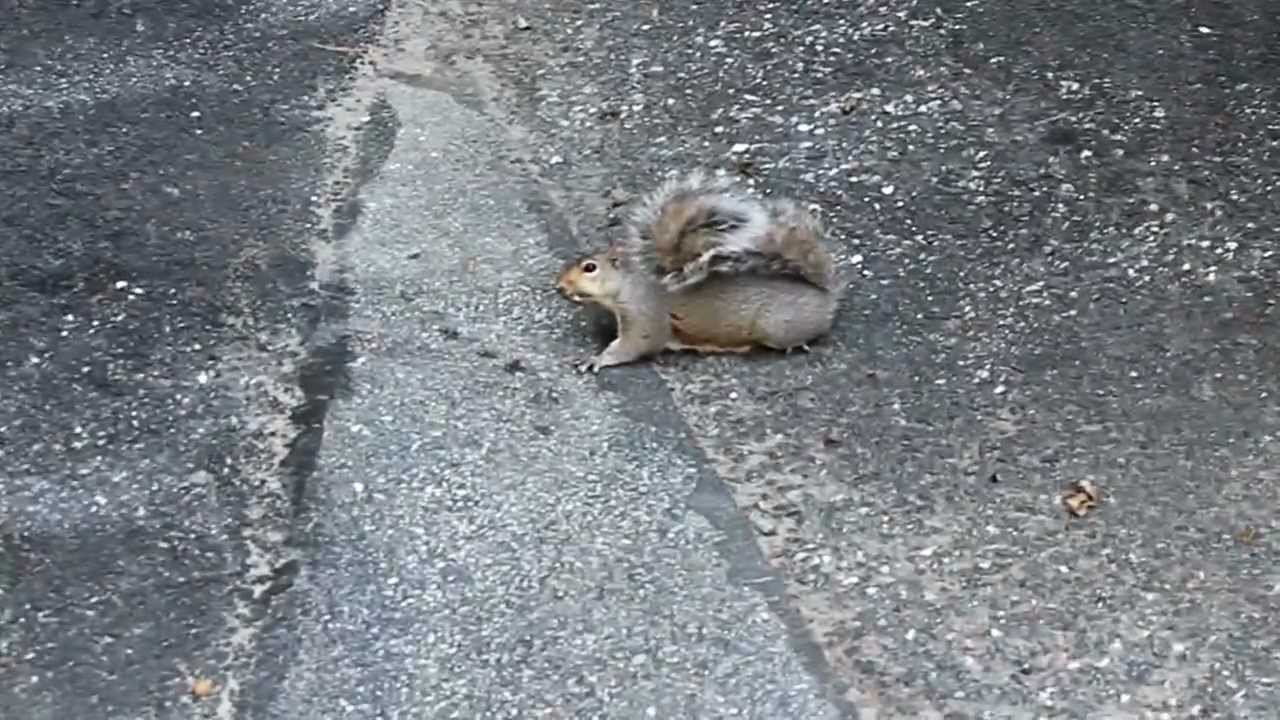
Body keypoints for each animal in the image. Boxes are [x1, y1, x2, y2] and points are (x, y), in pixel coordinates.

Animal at [555, 169, 844, 373]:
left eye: (590, 267)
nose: (559, 285)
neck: (629, 286)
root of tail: (825, 296)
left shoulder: (645, 315)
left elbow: (635, 345)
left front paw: (597, 360)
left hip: (777, 327)